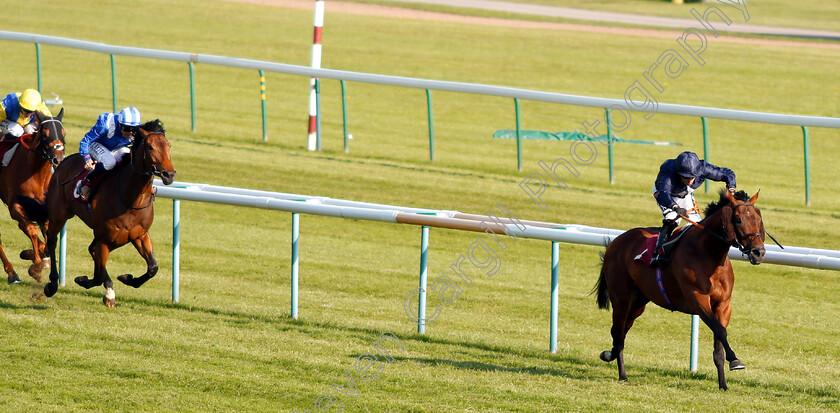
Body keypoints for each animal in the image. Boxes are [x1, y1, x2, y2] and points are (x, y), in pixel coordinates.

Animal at [0, 108, 65, 284]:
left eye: (63, 132)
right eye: (45, 133)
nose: (58, 158)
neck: (37, 176)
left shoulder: (44, 212)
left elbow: (48, 240)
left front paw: (38, 257)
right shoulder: (15, 206)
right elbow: (31, 230)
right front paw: (36, 265)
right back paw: (12, 273)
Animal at [42, 119, 176, 306]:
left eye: (168, 145)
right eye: (150, 147)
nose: (169, 174)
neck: (130, 198)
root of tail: (63, 161)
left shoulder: (139, 235)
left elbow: (153, 268)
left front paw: (127, 278)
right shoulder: (105, 238)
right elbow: (97, 276)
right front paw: (84, 280)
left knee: (91, 250)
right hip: (59, 214)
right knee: (52, 240)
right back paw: (53, 283)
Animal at [592, 190, 764, 390]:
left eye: (759, 218)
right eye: (738, 219)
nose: (759, 252)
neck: (708, 254)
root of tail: (616, 241)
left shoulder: (723, 305)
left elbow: (719, 343)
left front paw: (723, 384)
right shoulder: (697, 299)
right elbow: (720, 331)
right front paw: (735, 361)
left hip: (638, 303)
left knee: (621, 330)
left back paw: (609, 355)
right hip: (621, 299)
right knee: (618, 332)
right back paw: (622, 374)